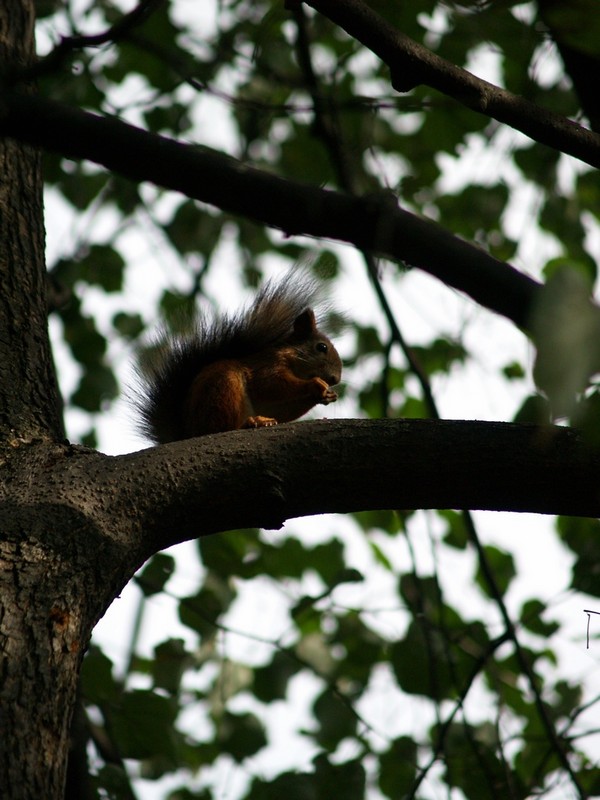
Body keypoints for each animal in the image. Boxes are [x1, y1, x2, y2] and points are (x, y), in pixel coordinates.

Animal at [135, 272, 342, 440]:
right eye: (322, 347)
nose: (335, 379)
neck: (294, 361)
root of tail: (188, 433)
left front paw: (327, 395)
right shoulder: (267, 365)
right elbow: (270, 385)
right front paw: (315, 384)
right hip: (222, 386)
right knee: (219, 427)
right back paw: (250, 423)